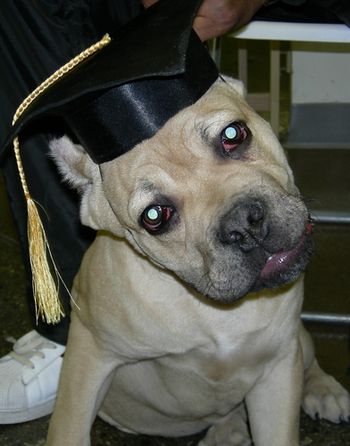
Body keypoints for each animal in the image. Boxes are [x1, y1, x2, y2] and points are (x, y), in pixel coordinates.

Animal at [47, 77, 350, 446]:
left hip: (295, 342)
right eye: (154, 216)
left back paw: (322, 388)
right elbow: (67, 429)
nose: (244, 225)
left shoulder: (278, 369)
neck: (212, 309)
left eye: (233, 134)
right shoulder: (87, 361)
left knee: (307, 354)